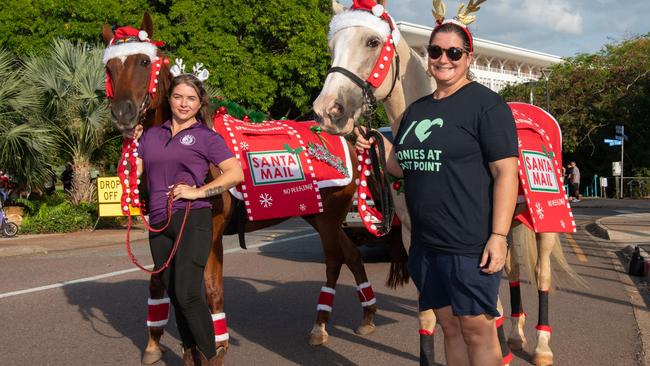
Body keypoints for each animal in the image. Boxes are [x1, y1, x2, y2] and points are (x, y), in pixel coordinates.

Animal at [101, 12, 404, 366]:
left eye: (143, 61)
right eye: (110, 67)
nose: (123, 112)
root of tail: (350, 138)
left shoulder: (211, 232)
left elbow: (212, 290)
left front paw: (216, 347)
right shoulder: (162, 230)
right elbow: (157, 282)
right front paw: (153, 344)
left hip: (329, 217)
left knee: (334, 259)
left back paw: (321, 326)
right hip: (315, 214)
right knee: (352, 254)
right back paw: (366, 316)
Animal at [312, 1, 580, 364]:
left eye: (372, 41)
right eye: (331, 46)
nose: (328, 110)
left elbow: (487, 307)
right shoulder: (414, 236)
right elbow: (429, 314)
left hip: (546, 222)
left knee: (542, 276)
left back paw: (541, 346)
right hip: (511, 221)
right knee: (512, 270)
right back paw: (515, 335)